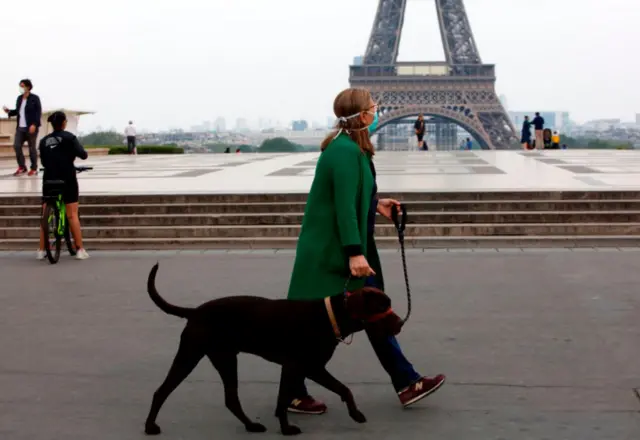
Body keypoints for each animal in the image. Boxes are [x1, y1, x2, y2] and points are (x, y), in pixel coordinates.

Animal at [146, 262, 404, 434]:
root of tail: (195, 311)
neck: (330, 316)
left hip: (225, 358)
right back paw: (150, 426)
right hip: (190, 355)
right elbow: (342, 389)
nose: (401, 322)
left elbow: (289, 398)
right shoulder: (307, 367)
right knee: (161, 391)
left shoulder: (302, 368)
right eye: (383, 306)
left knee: (231, 398)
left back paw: (251, 425)